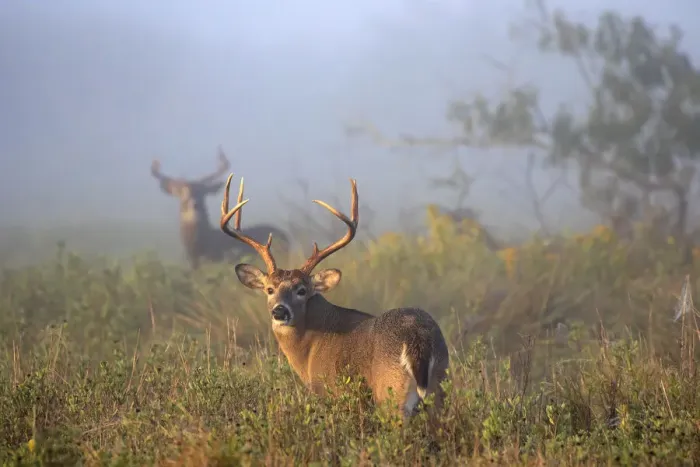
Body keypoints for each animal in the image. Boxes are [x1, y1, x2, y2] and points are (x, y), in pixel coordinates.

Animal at [219, 174, 450, 420]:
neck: (310, 347)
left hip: (391, 393)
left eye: (302, 290)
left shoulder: (330, 390)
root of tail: (417, 337)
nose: (279, 311)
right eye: (269, 289)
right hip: (439, 386)